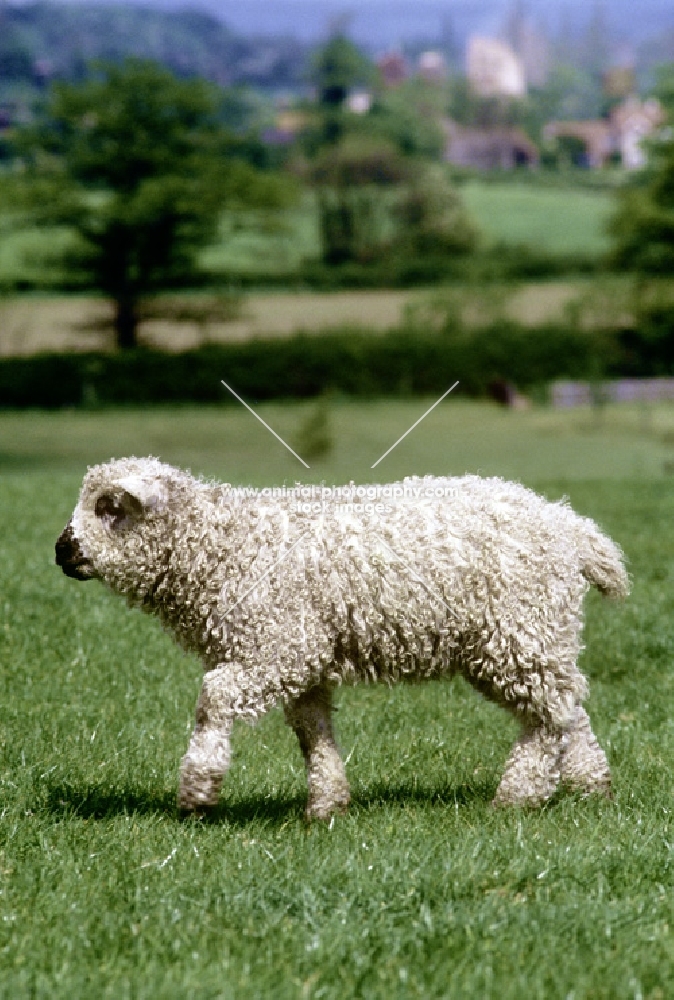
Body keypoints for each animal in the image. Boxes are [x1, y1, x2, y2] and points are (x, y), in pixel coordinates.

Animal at [55, 460, 628, 820]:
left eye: (110, 508)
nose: (62, 550)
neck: (223, 544)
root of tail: (569, 524)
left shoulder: (278, 647)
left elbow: (213, 699)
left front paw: (198, 789)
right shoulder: (302, 661)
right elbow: (312, 733)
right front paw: (326, 804)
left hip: (519, 630)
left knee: (548, 716)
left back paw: (518, 796)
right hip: (535, 636)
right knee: (567, 707)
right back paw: (591, 786)